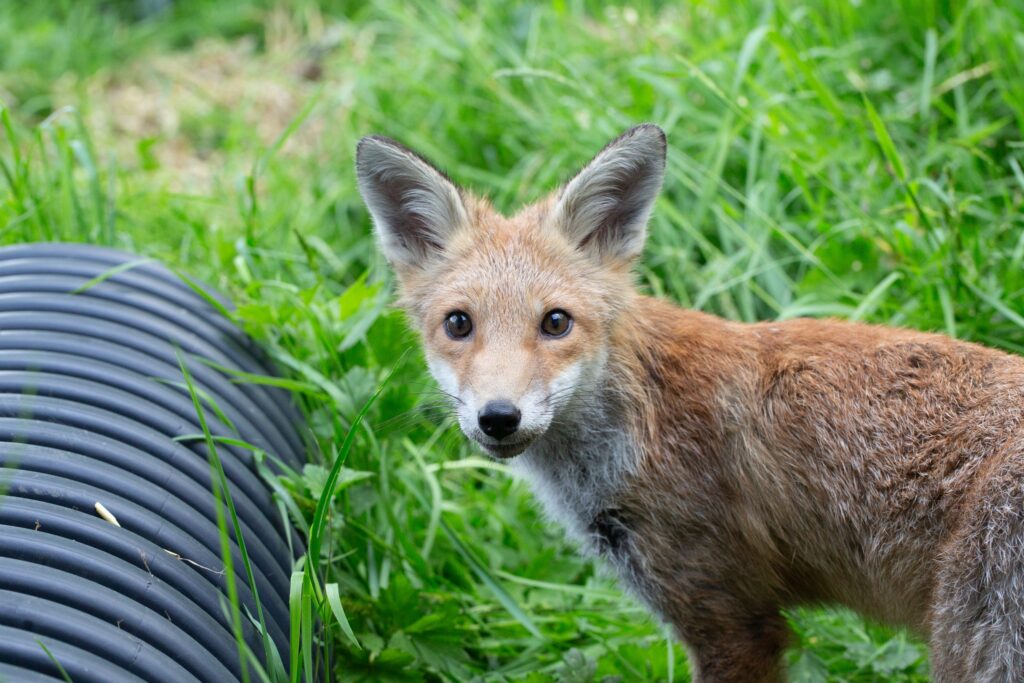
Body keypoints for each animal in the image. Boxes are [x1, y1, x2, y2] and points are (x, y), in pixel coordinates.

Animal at [355, 124, 1024, 682]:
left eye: (556, 322)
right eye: (458, 324)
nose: (498, 417)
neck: (640, 424)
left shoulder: (729, 617)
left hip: (966, 649)